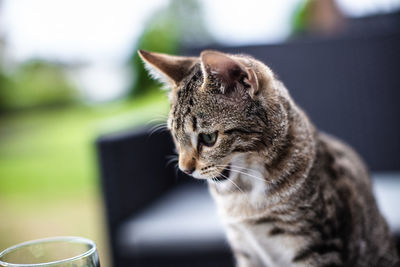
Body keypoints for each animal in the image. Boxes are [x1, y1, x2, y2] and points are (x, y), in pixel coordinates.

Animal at [139, 49, 398, 266]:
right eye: (175, 136)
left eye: (209, 138)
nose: (185, 169)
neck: (243, 193)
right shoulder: (244, 248)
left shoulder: (319, 246)